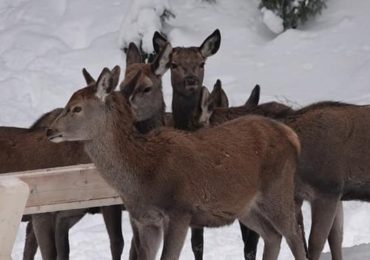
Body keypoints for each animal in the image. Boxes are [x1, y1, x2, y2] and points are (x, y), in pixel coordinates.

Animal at [46, 63, 306, 260]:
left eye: (76, 108)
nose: (50, 130)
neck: (143, 175)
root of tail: (291, 136)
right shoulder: (146, 221)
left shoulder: (180, 211)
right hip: (246, 207)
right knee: (273, 236)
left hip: (278, 190)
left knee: (294, 236)